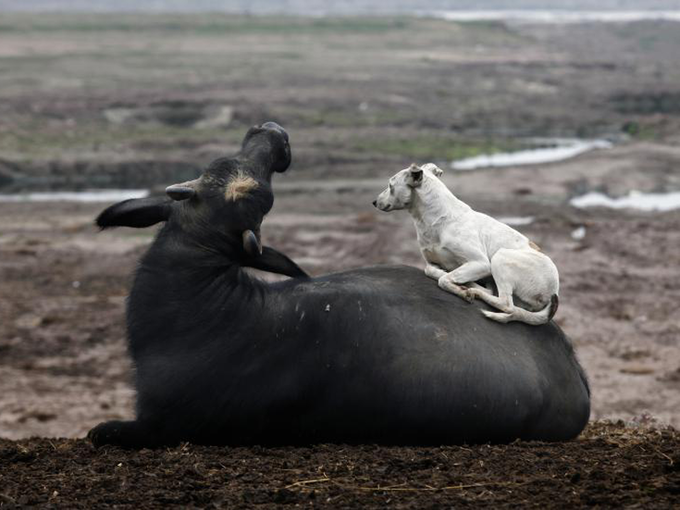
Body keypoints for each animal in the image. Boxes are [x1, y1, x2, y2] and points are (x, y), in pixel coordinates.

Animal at [374, 163, 560, 326]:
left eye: (390, 185)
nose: (374, 202)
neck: (437, 219)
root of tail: (554, 291)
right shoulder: (431, 261)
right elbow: (432, 270)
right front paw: (448, 275)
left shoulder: (481, 263)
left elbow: (443, 280)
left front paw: (460, 289)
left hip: (500, 257)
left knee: (506, 304)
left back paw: (474, 290)